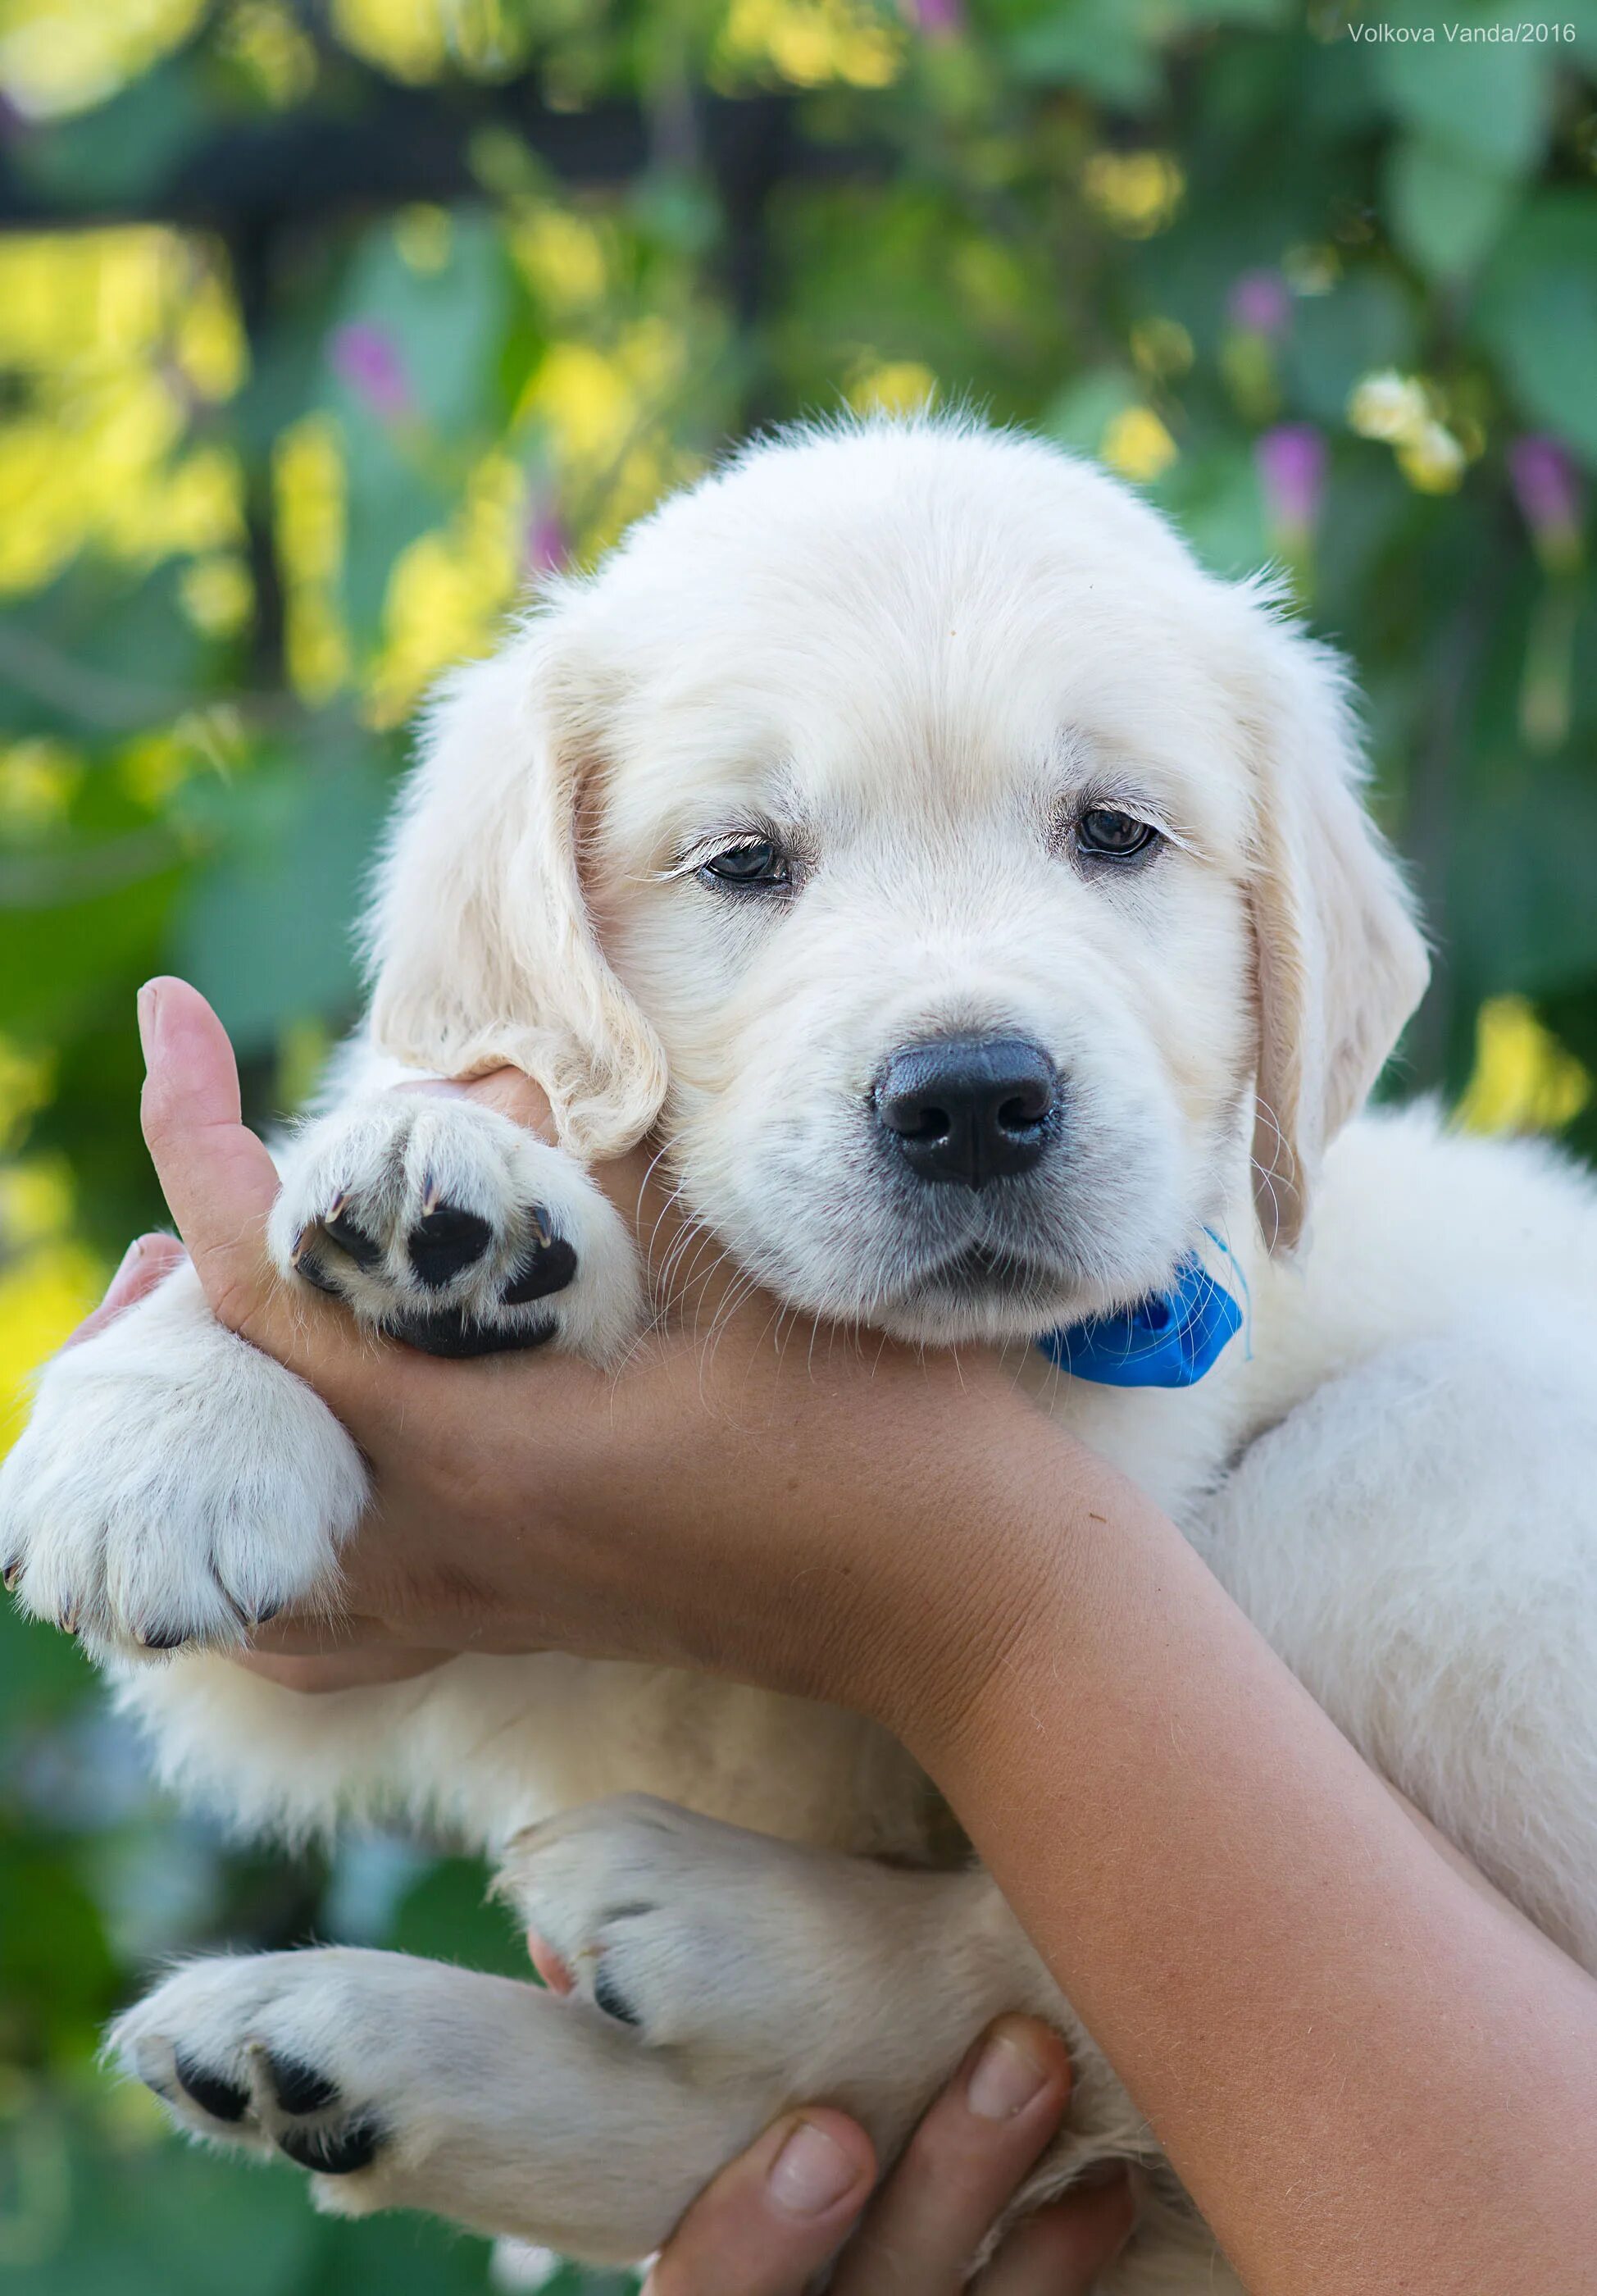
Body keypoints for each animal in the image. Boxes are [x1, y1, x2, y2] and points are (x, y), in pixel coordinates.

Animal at [2, 417, 1597, 2296]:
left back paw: (712, 1937)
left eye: (1114, 833)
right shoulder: (329, 1665)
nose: (972, 1096)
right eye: (743, 862)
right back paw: (333, 2055)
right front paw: (220, 1387)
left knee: (1094, 1992)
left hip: (1402, 1475)